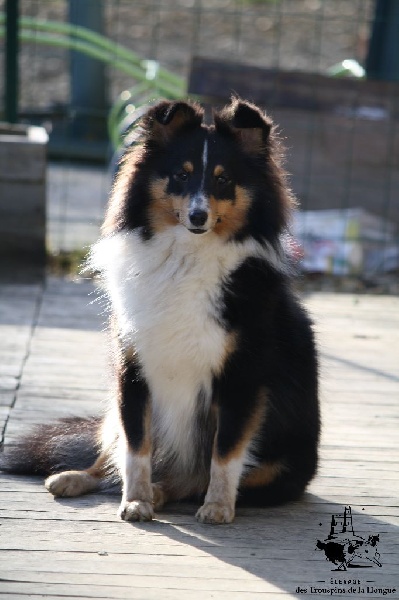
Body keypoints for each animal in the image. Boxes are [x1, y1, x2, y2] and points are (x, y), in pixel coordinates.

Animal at [0, 99, 318, 524]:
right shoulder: (133, 368)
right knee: (112, 452)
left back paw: (168, 492)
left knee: (192, 482)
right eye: (181, 175)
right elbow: (136, 448)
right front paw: (135, 501)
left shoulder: (241, 377)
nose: (198, 217)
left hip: (278, 466)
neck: (186, 257)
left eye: (223, 180)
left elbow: (225, 452)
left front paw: (217, 508)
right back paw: (75, 478)